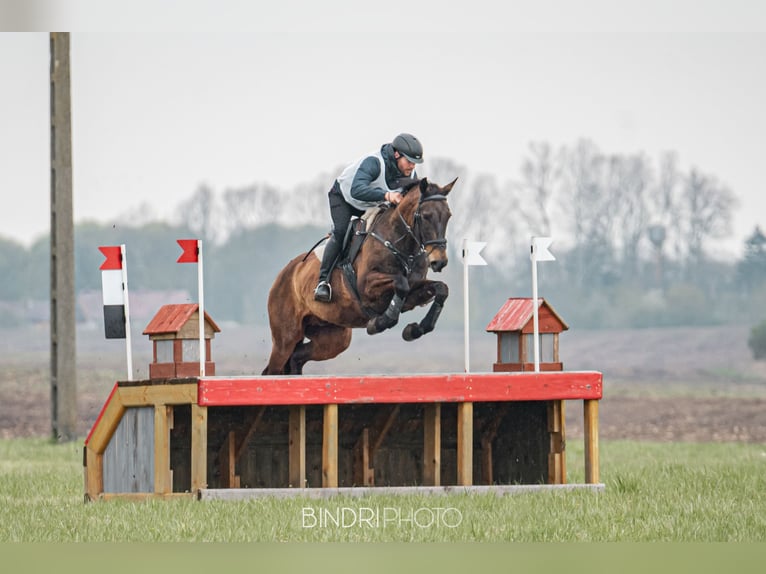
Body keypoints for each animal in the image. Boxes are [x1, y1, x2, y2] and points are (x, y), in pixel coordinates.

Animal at [262, 180, 456, 378]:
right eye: (425, 216)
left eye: (448, 216)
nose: (439, 261)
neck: (398, 242)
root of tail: (285, 274)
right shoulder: (367, 288)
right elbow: (401, 284)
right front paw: (379, 323)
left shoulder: (413, 293)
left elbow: (441, 289)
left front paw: (415, 330)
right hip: (286, 337)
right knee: (274, 367)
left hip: (333, 338)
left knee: (296, 357)